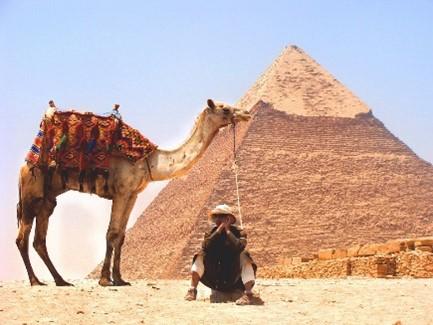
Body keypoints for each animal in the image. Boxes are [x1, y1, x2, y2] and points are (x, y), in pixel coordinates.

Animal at [16, 97, 250, 284]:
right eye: (224, 108)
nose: (246, 113)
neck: (149, 160)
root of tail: (25, 165)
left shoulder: (133, 194)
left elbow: (121, 235)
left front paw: (119, 278)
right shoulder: (121, 191)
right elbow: (111, 232)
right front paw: (105, 280)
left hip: (47, 200)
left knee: (39, 240)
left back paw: (61, 281)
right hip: (31, 194)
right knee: (22, 238)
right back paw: (36, 281)